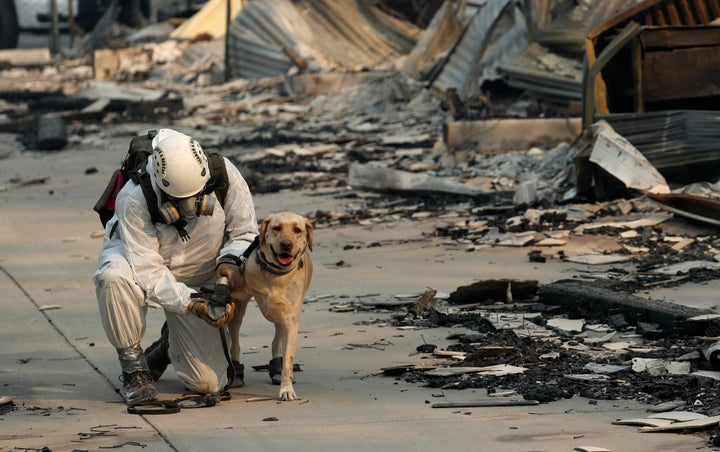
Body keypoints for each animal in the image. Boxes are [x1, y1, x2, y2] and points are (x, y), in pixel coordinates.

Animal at [228, 210, 312, 400]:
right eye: (277, 228)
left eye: (297, 230)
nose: (286, 244)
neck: (275, 275)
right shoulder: (239, 294)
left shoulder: (290, 320)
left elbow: (288, 360)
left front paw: (286, 390)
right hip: (240, 314)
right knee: (235, 341)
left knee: (276, 341)